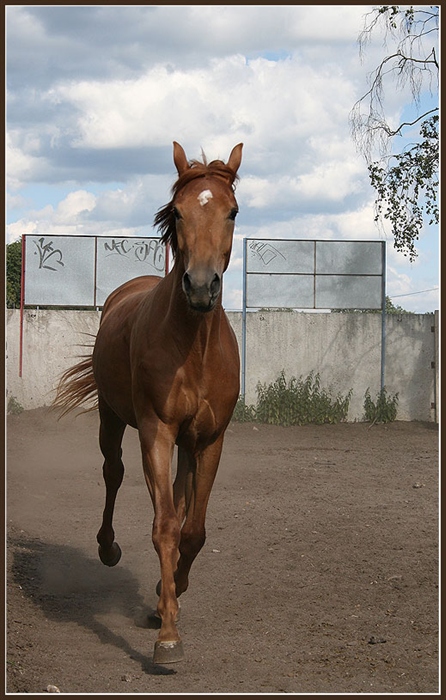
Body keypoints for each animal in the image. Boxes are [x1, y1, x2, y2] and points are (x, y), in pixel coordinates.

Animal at [56, 141, 246, 660]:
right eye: (178, 211)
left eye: (232, 212)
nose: (200, 286)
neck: (193, 346)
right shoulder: (156, 432)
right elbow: (164, 526)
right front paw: (168, 636)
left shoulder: (210, 440)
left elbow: (192, 530)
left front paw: (169, 599)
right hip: (112, 418)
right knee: (113, 473)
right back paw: (108, 549)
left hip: (186, 444)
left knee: (179, 503)